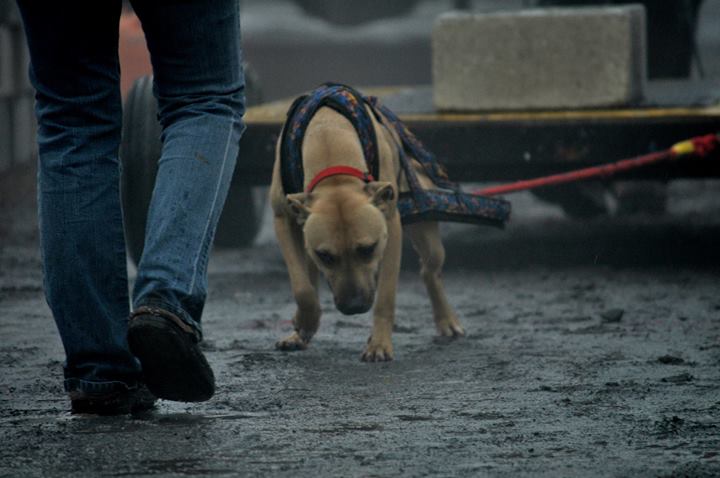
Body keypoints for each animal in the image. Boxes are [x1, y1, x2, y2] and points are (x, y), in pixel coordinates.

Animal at [268, 101, 462, 362]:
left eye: (368, 249)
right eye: (326, 256)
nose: (354, 307)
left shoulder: (390, 229)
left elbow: (385, 298)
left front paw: (379, 344)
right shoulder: (284, 220)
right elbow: (302, 288)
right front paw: (305, 323)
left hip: (429, 239)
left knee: (430, 271)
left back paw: (447, 320)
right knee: (310, 279)